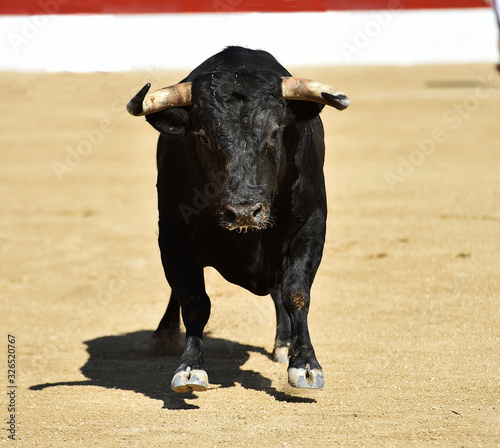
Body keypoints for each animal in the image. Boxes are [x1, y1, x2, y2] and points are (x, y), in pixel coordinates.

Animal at [127, 46, 350, 392]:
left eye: (275, 132)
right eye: (203, 136)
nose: (244, 211)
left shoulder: (311, 226)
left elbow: (296, 292)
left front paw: (305, 364)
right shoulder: (173, 235)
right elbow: (194, 300)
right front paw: (190, 367)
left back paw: (282, 344)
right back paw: (163, 337)